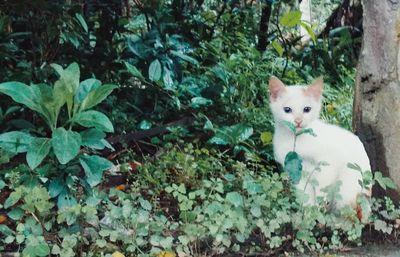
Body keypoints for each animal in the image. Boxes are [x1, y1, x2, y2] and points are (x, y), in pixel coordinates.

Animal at [268, 77, 372, 213]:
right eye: (287, 110)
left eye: (307, 109)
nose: (298, 120)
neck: (296, 139)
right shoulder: (295, 170)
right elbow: (304, 195)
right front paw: (307, 212)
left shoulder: (330, 162)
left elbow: (322, 188)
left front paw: (318, 208)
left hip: (348, 187)